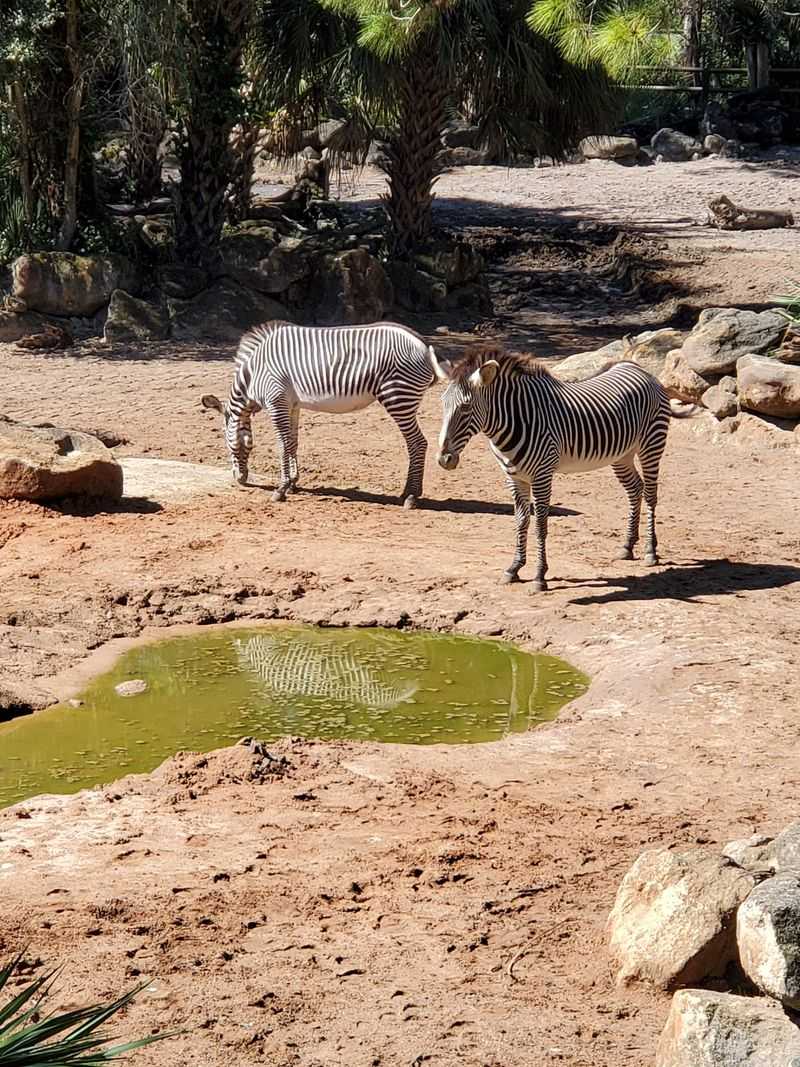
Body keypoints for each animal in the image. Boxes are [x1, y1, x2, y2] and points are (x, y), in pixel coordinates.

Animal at [201, 320, 437, 508]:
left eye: (227, 444)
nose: (240, 479)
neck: (253, 374)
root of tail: (423, 344)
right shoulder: (292, 404)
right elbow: (292, 442)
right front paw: (293, 483)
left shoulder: (276, 401)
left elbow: (282, 444)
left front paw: (281, 489)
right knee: (416, 443)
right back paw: (407, 493)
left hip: (398, 397)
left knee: (418, 442)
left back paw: (411, 496)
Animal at [432, 341, 697, 591]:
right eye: (442, 403)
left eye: (465, 407)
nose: (444, 459)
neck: (515, 419)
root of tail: (639, 369)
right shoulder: (514, 477)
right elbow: (521, 521)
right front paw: (514, 568)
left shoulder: (542, 475)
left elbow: (540, 524)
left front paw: (539, 576)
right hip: (622, 454)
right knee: (635, 490)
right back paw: (627, 546)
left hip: (652, 443)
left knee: (651, 493)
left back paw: (650, 551)